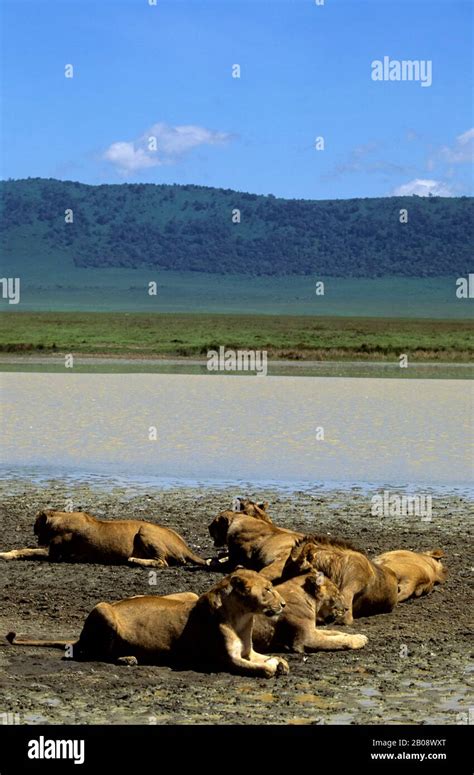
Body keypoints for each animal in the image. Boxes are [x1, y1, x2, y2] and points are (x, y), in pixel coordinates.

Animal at [0, 510, 207, 568]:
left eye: (35, 526)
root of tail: (185, 546)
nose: (36, 536)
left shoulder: (55, 553)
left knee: (162, 562)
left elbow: (26, 550)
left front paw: (6, 554)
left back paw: (134, 560)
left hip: (144, 531)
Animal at [6, 568, 288, 680]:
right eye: (267, 590)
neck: (242, 617)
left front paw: (280, 662)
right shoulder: (225, 659)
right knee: (92, 653)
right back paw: (127, 658)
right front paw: (271, 668)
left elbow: (265, 657)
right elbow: (259, 668)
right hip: (102, 609)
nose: (284, 604)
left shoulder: (247, 651)